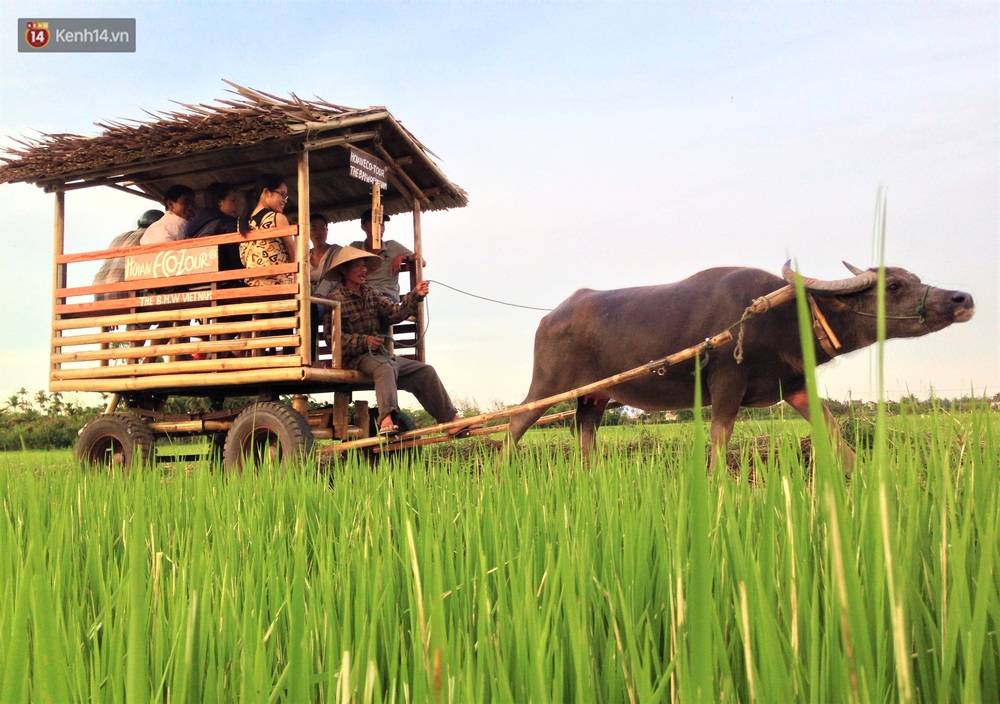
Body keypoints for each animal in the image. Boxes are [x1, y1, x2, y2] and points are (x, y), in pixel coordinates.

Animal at [504, 260, 972, 472]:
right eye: (893, 285)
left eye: (913, 279)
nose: (962, 298)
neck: (784, 316)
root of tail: (550, 317)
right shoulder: (727, 387)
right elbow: (718, 440)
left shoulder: (794, 386)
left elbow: (832, 428)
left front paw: (859, 472)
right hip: (546, 386)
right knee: (516, 423)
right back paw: (502, 470)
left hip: (596, 396)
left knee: (584, 430)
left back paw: (588, 474)